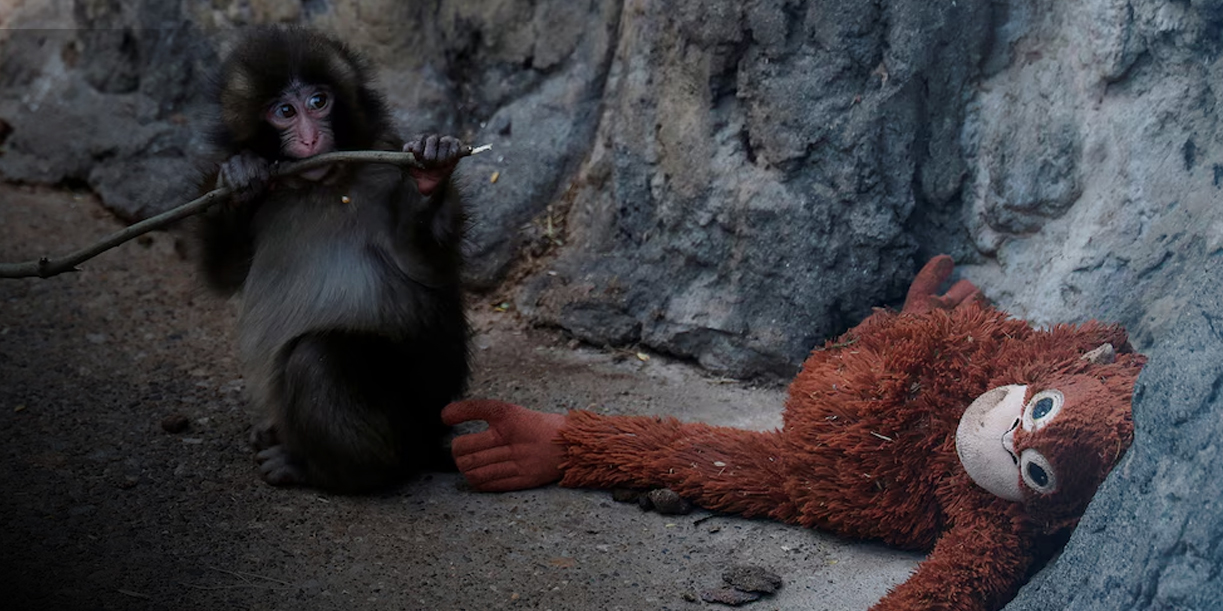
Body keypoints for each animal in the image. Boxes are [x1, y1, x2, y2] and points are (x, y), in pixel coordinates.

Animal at [195, 27, 470, 493]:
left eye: (319, 101)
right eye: (285, 111)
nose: (310, 139)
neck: (318, 186)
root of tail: (430, 433)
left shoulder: (383, 166)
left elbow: (425, 265)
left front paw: (430, 174)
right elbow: (224, 272)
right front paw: (238, 176)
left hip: (412, 411)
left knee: (318, 356)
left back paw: (329, 470)